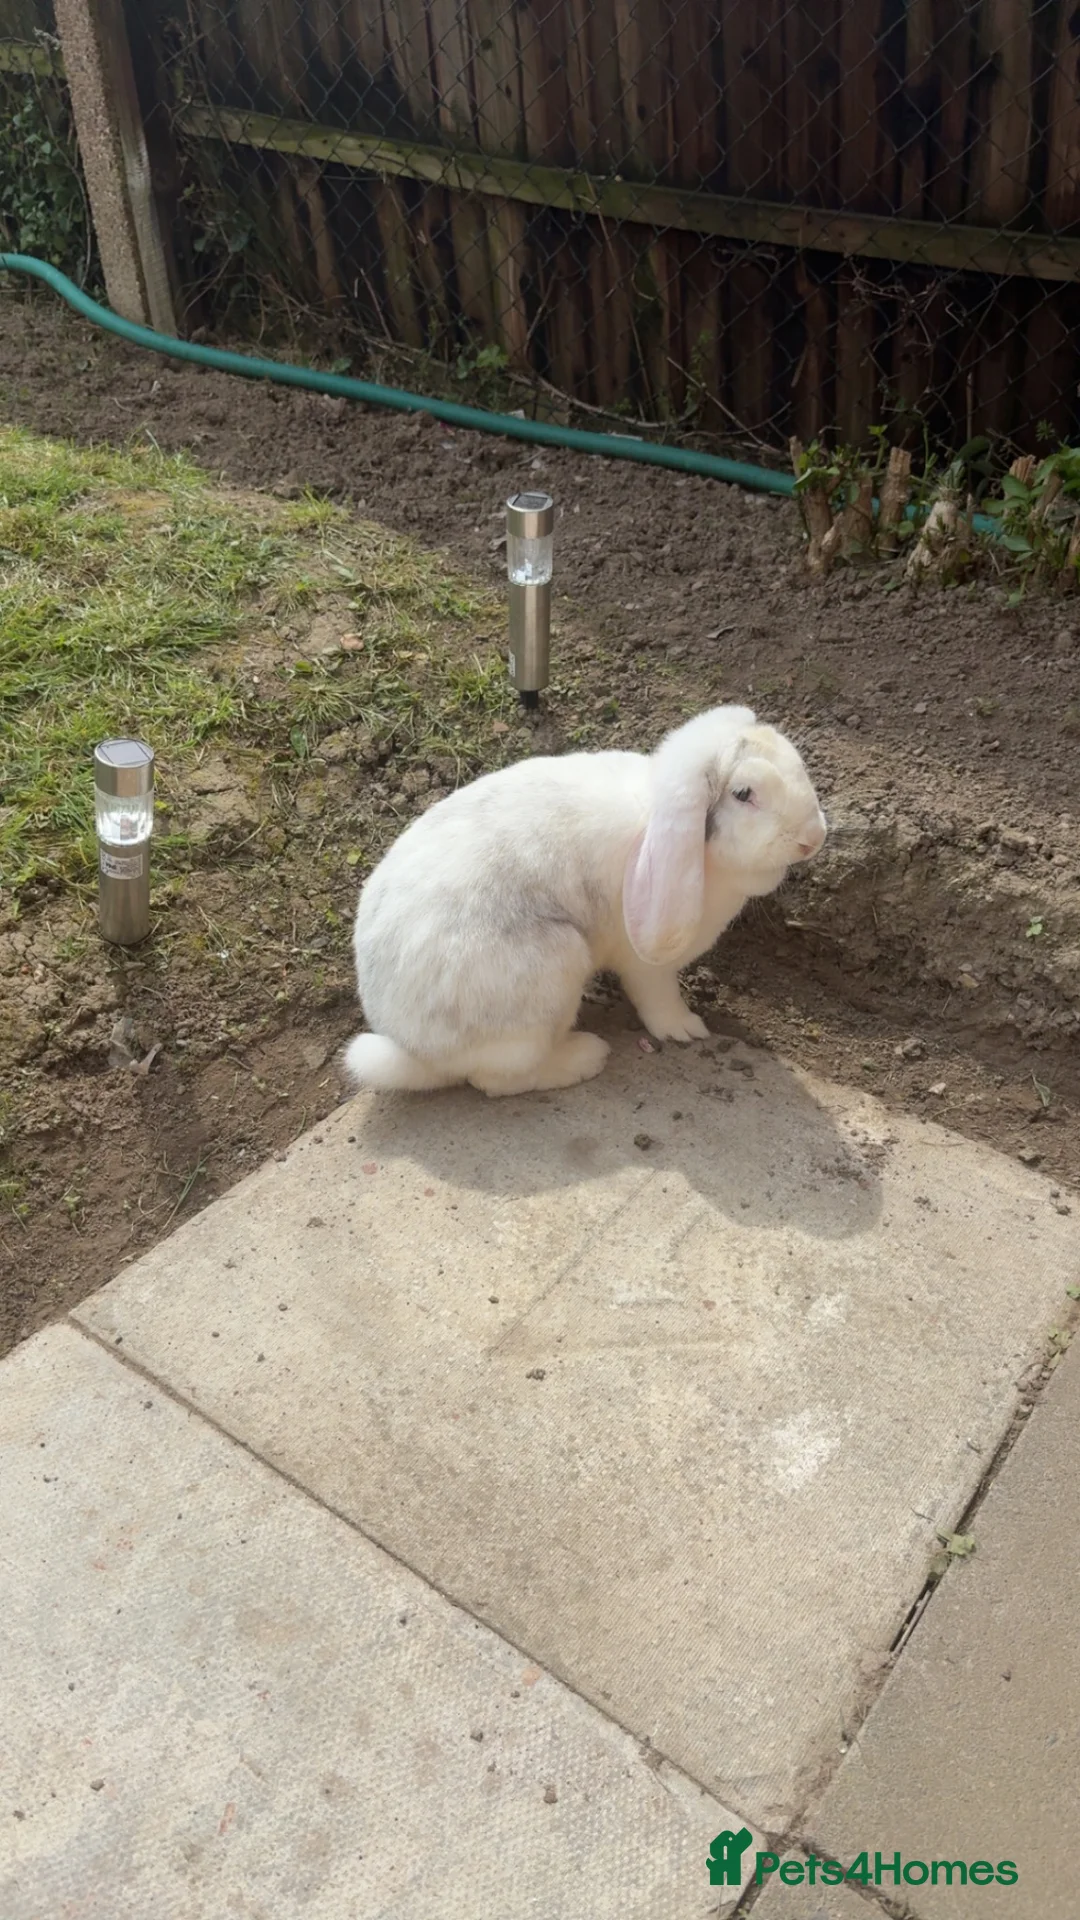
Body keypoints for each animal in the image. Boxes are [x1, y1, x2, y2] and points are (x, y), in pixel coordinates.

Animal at [343, 704, 826, 1098]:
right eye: (744, 794)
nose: (814, 838)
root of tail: (410, 1046)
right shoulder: (646, 964)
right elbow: (658, 998)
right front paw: (686, 1029)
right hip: (549, 972)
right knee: (497, 1081)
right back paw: (584, 1058)